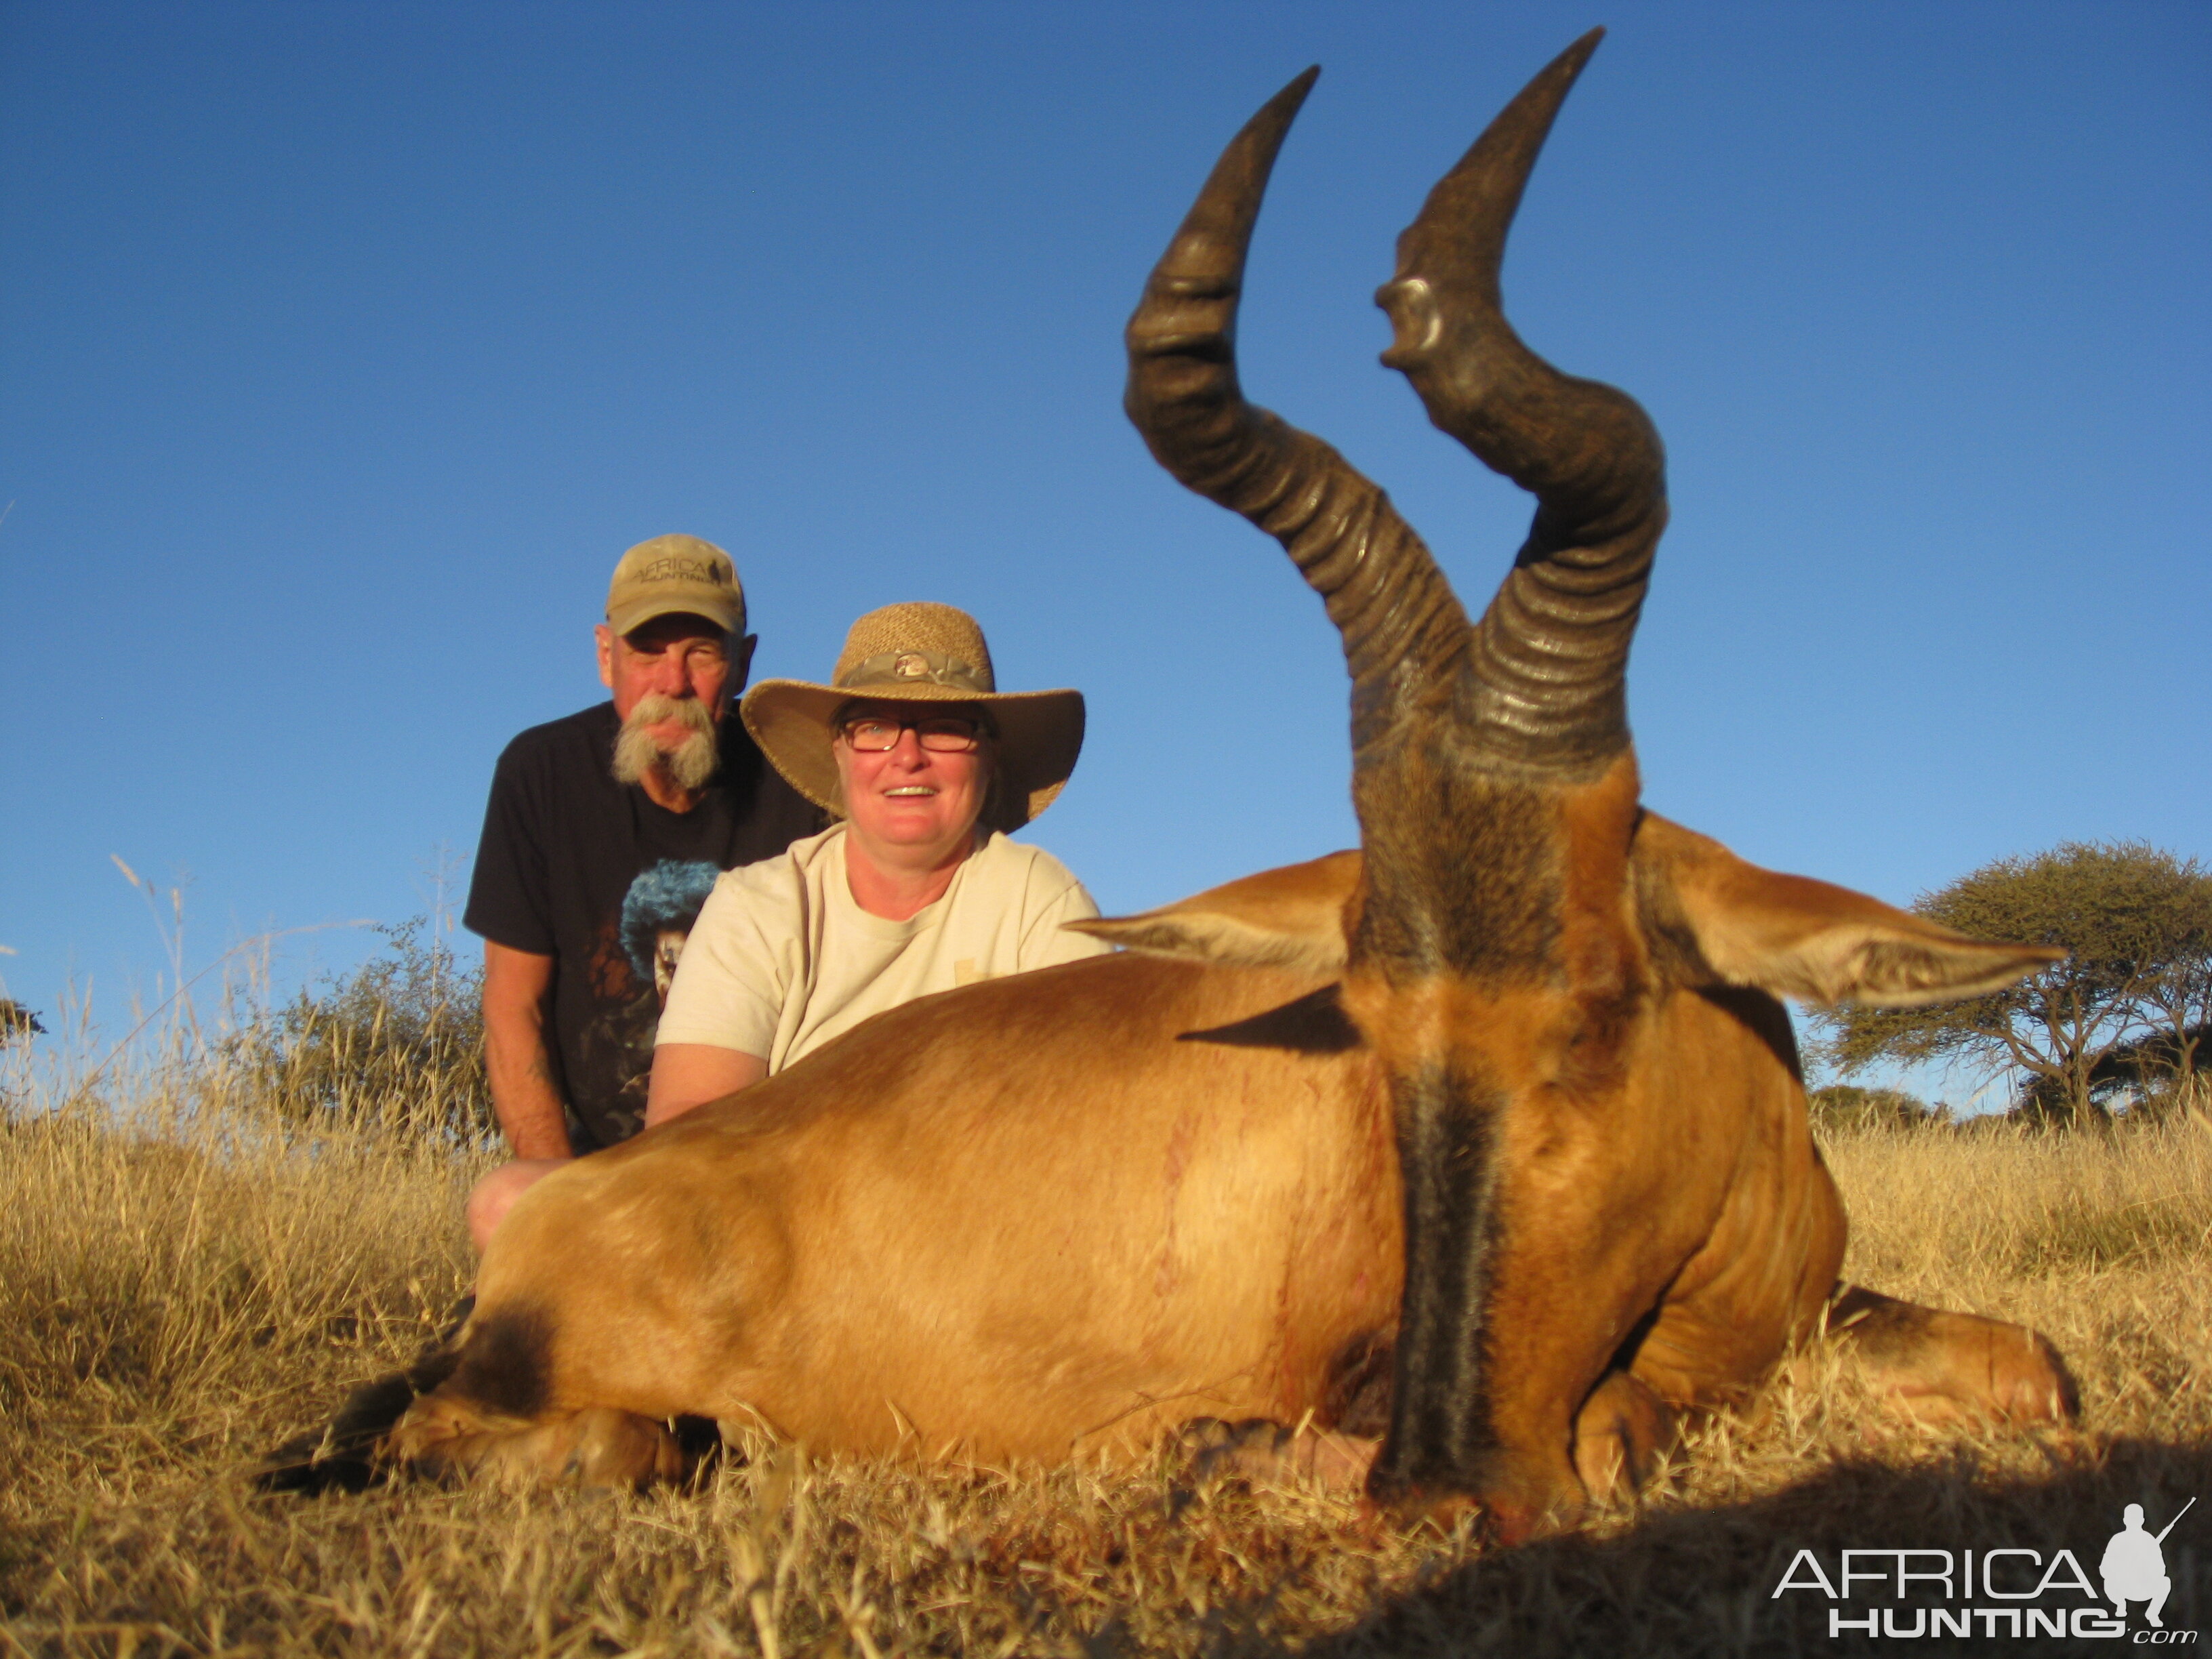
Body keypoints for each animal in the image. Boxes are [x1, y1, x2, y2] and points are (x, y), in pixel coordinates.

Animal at [272, 32, 2070, 1548]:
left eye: (1607, 1002)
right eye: (1365, 1021)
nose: (1436, 1487)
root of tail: (553, 1223)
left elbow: (2032, 1364)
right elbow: (1620, 1432)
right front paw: (1226, 1451)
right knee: (592, 1441)